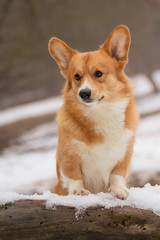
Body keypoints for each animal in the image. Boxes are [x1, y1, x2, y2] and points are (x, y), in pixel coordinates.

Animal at [48, 25, 138, 200]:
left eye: (98, 73)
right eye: (77, 77)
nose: (84, 93)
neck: (100, 112)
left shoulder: (125, 153)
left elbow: (117, 175)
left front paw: (119, 190)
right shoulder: (68, 155)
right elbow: (74, 176)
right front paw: (78, 191)